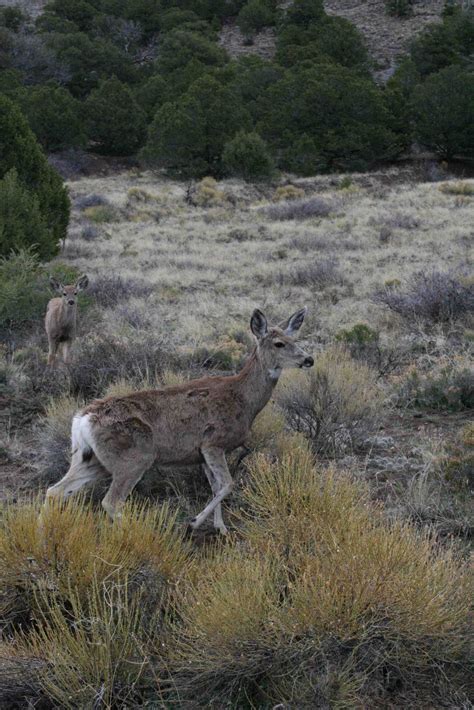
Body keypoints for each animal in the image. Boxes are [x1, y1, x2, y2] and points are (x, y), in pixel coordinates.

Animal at [43, 308, 312, 536]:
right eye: (279, 343)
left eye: (296, 339)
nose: (308, 359)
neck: (244, 399)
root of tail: (83, 420)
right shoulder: (213, 442)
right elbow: (228, 484)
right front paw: (194, 522)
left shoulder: (200, 454)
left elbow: (216, 487)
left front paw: (221, 528)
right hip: (133, 459)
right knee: (111, 502)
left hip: (90, 459)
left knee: (54, 491)